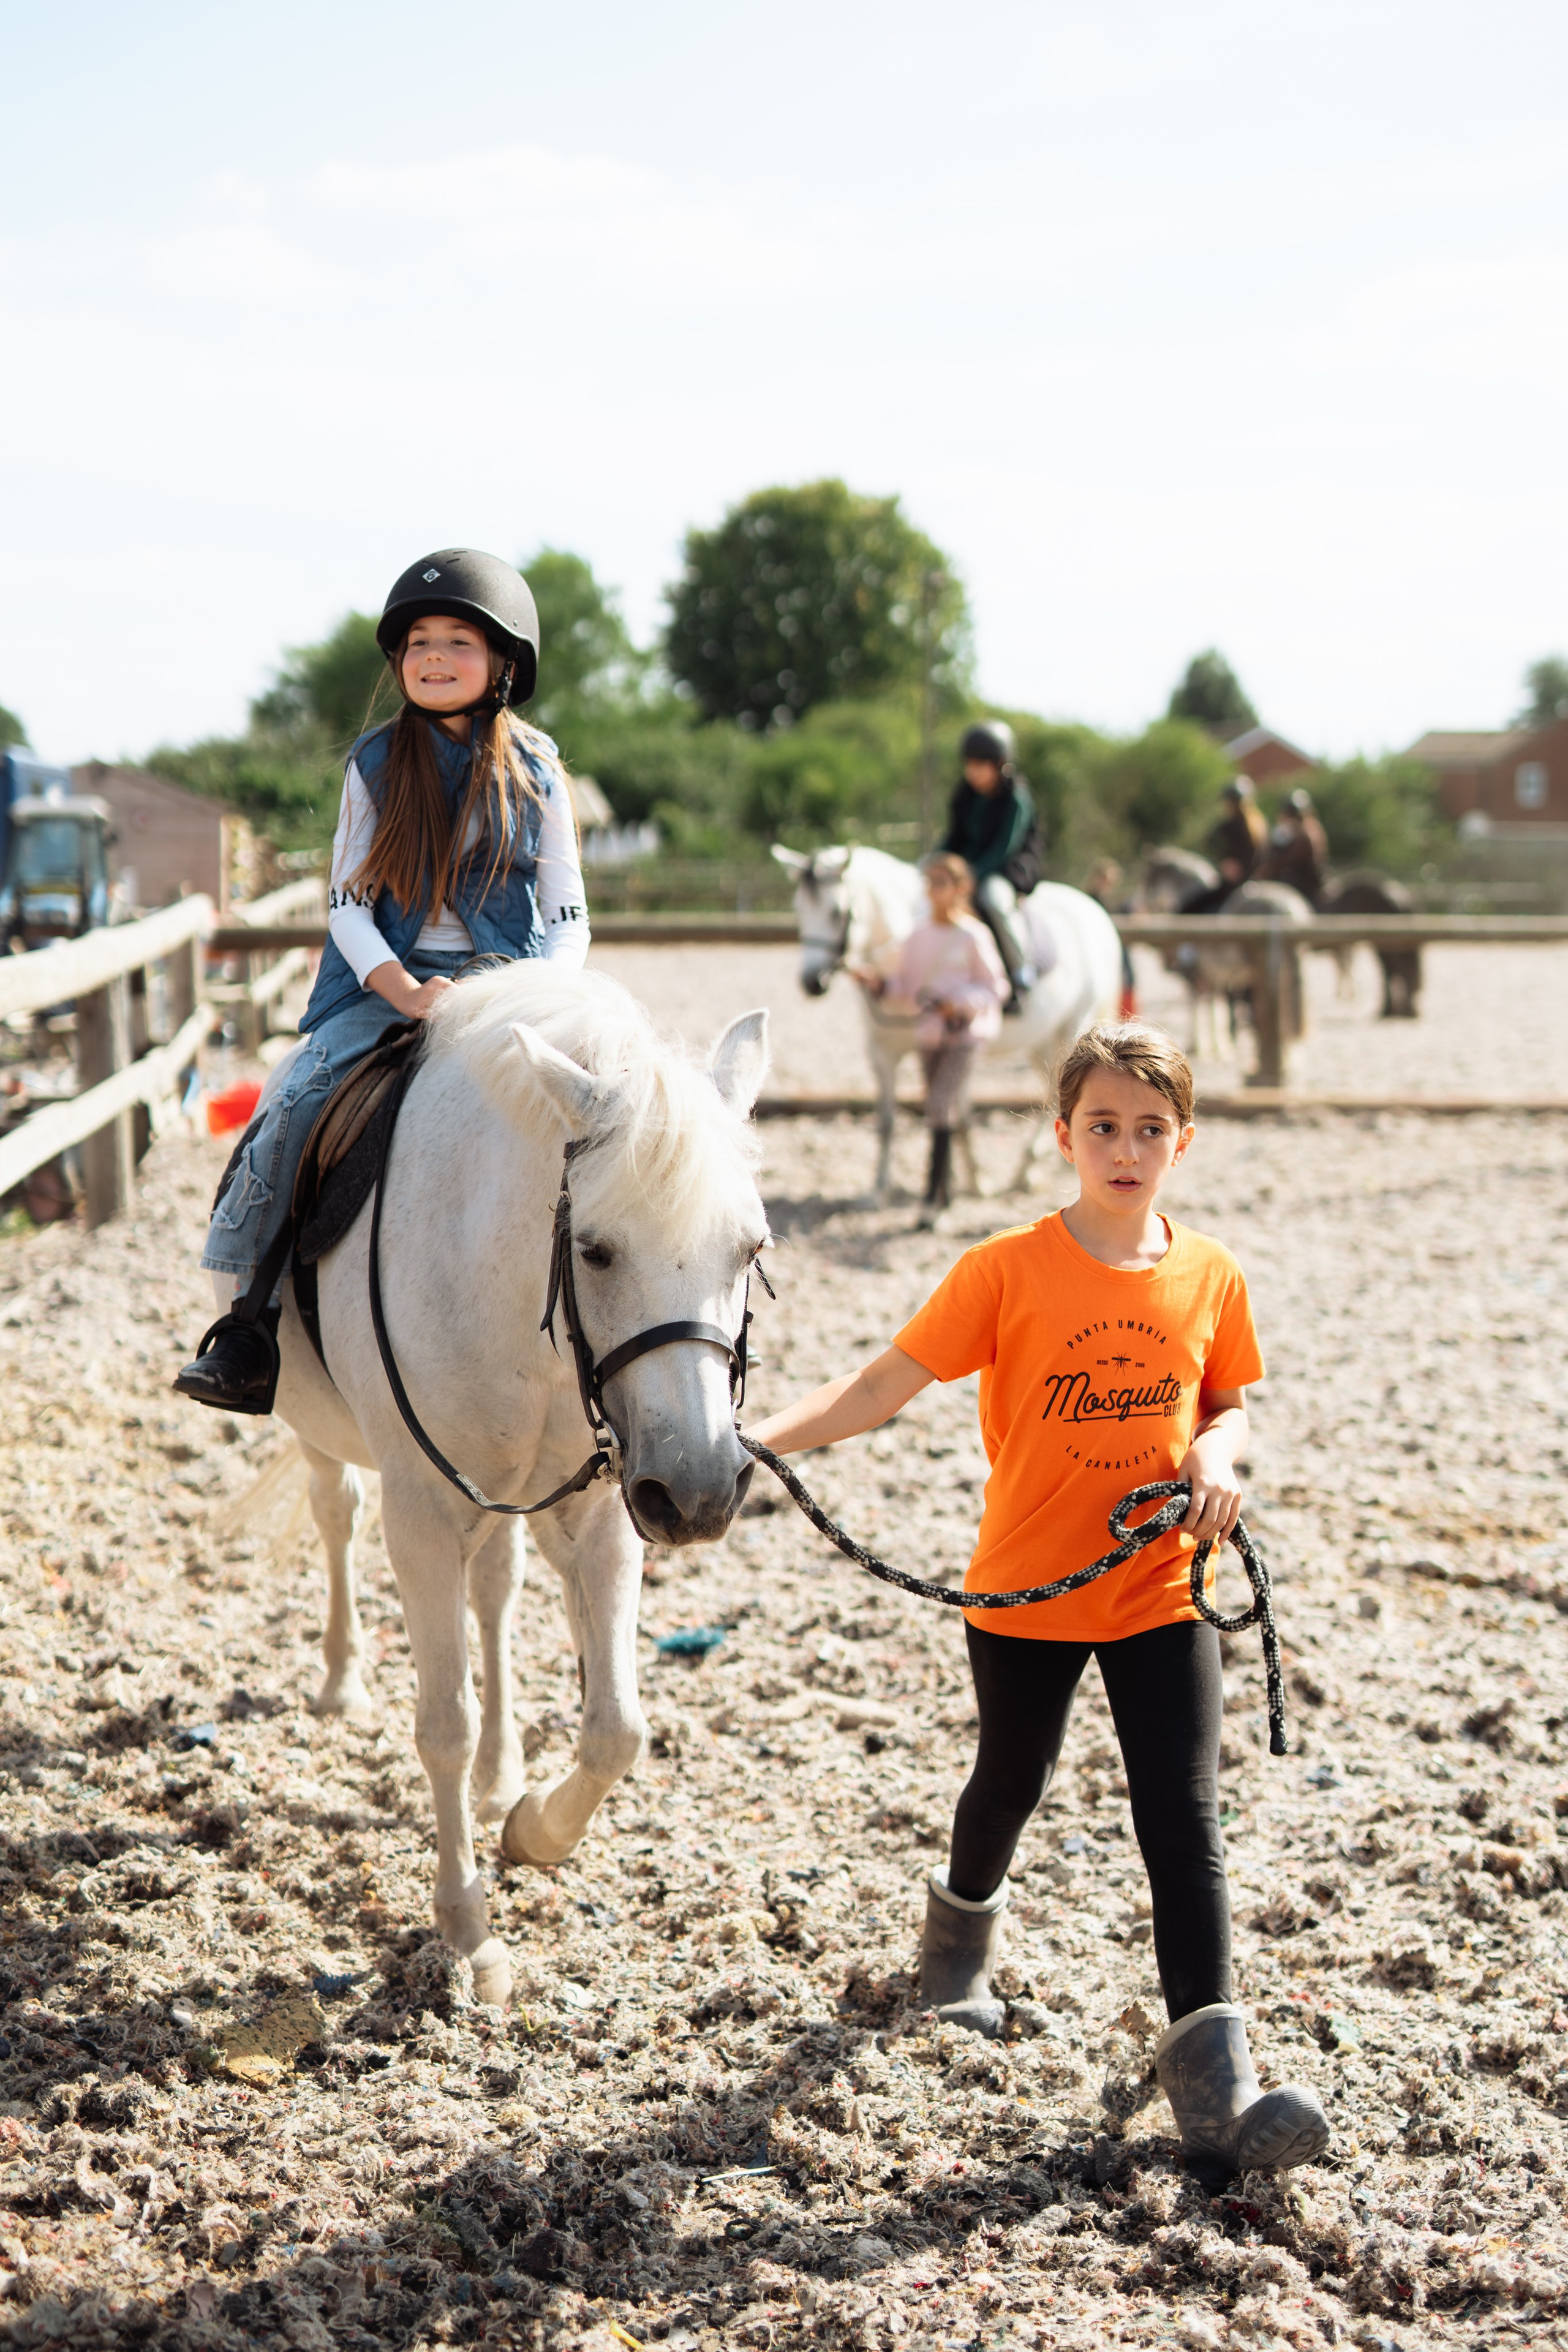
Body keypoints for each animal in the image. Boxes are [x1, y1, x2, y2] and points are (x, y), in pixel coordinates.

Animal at [225, 965, 771, 2008]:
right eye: (594, 1249)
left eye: (752, 1250)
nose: (698, 1493)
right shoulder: (422, 1516)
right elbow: (442, 1721)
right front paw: (468, 1932)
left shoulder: (604, 1511)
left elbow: (616, 1728)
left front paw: (533, 1829)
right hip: (325, 1437)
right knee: (336, 1517)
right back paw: (342, 1682)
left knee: (497, 1594)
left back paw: (501, 1772)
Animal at [772, 844, 1123, 1196]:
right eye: (798, 909)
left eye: (837, 911)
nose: (812, 982)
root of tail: (1093, 909)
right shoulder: (883, 1052)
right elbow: (889, 1121)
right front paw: (880, 1191)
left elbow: (958, 1118)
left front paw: (975, 1183)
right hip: (1043, 1044)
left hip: (1072, 1028)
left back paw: (1026, 1170)